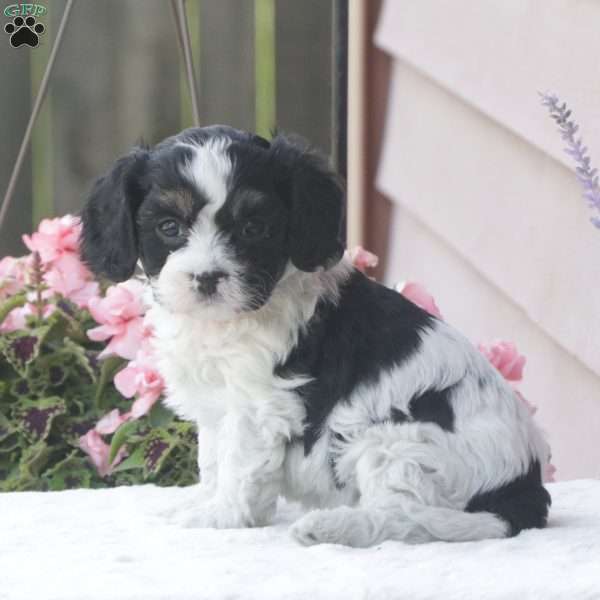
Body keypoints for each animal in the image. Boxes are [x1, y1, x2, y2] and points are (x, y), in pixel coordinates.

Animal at [81, 126, 552, 548]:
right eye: (168, 227)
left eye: (253, 228)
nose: (207, 278)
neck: (231, 320)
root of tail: (524, 488)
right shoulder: (217, 406)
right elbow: (214, 461)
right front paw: (207, 501)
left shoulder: (259, 406)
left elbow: (239, 464)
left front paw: (220, 517)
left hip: (399, 445)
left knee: (404, 517)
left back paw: (331, 527)